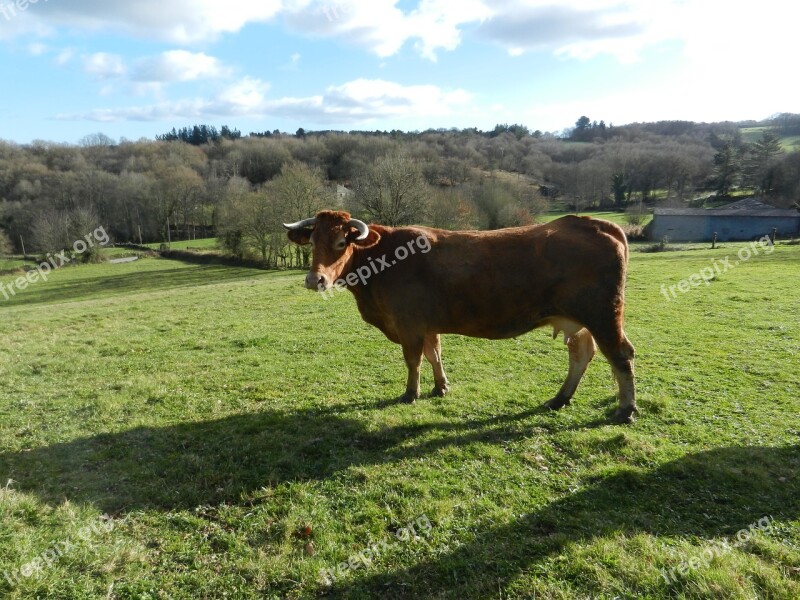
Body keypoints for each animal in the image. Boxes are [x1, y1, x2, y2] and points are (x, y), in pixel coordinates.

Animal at [284, 211, 636, 422]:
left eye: (341, 242)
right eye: (312, 241)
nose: (315, 280)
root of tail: (594, 223)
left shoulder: (408, 324)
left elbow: (413, 360)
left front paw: (411, 393)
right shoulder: (426, 324)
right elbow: (434, 354)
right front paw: (441, 387)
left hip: (603, 316)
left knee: (621, 356)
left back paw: (625, 409)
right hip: (579, 321)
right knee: (582, 354)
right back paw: (560, 399)